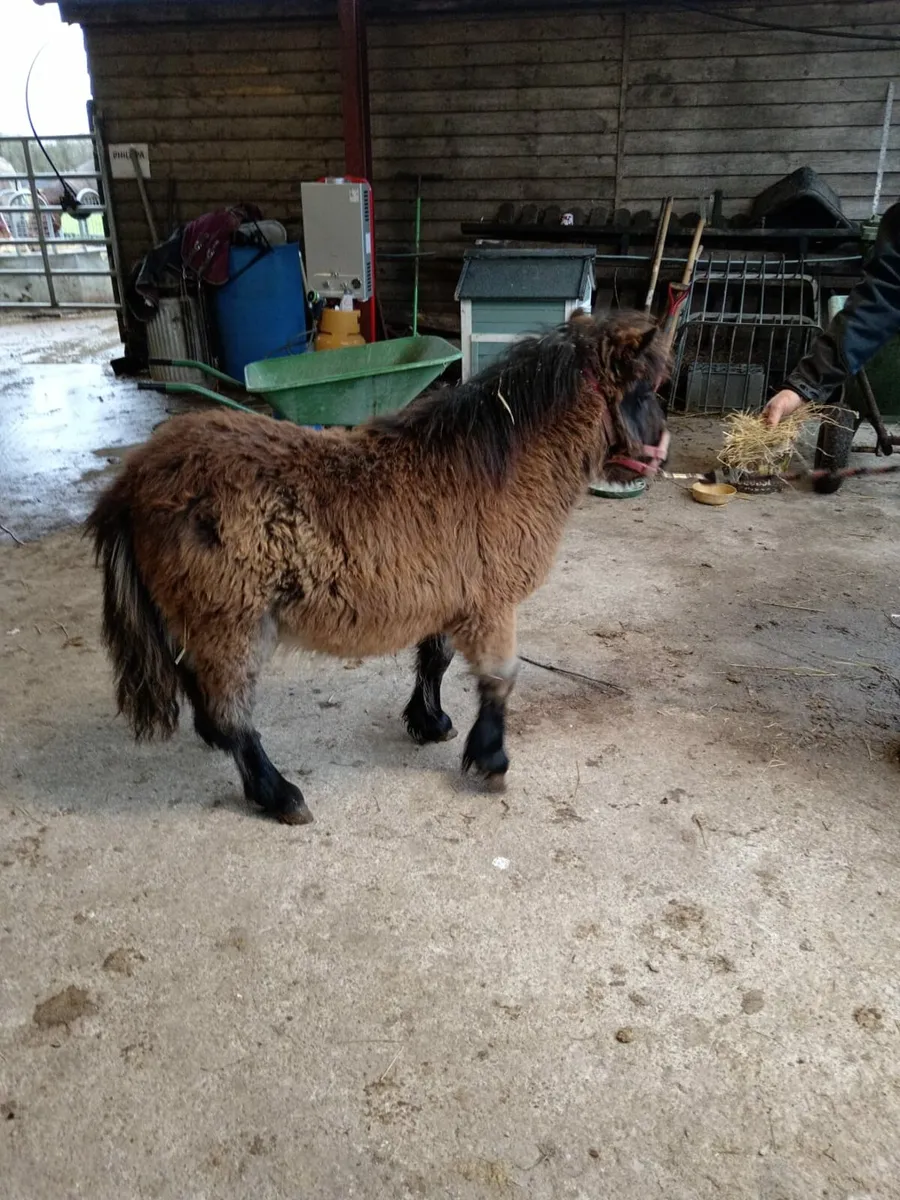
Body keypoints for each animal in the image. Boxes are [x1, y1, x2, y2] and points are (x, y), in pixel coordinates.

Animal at [86, 310, 669, 826]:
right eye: (643, 389)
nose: (660, 451)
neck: (499, 467)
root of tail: (134, 480)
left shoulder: (452, 596)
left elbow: (436, 659)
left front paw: (430, 722)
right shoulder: (492, 604)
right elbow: (500, 679)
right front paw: (491, 759)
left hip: (199, 616)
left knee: (196, 679)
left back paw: (214, 740)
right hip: (230, 619)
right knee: (233, 711)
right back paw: (278, 794)